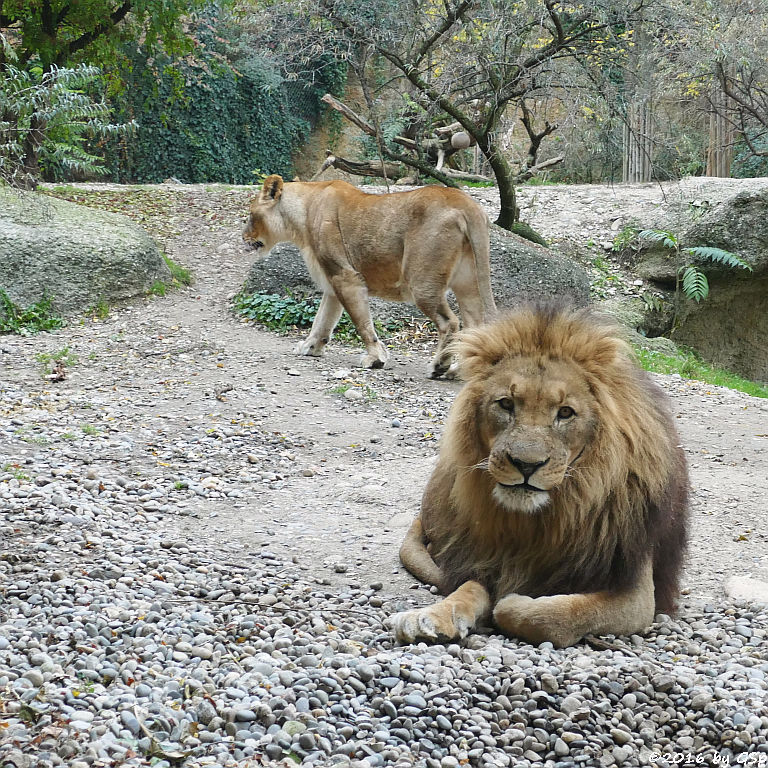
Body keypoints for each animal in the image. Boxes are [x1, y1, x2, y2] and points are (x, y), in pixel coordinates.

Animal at [242, 175, 498, 378]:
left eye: (251, 215)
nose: (243, 237)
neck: (301, 215)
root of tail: (466, 203)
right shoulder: (333, 281)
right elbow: (322, 320)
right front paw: (310, 347)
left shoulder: (346, 277)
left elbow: (361, 322)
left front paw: (375, 359)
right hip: (467, 282)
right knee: (476, 326)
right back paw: (459, 370)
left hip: (422, 282)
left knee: (450, 322)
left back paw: (440, 367)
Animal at [390, 306, 688, 648]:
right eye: (506, 404)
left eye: (565, 412)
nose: (526, 465)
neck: (533, 524)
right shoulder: (483, 560)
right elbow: (469, 587)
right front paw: (430, 617)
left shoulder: (637, 593)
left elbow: (550, 612)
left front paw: (517, 599)